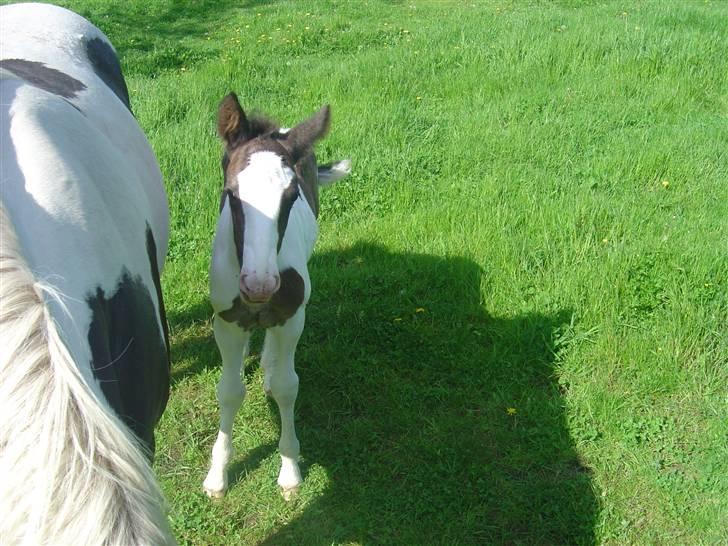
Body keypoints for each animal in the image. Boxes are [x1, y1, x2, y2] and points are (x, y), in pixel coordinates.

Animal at [202, 94, 350, 498]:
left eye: (291, 196)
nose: (260, 286)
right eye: (231, 195)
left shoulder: (292, 316)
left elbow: (287, 387)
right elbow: (228, 391)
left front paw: (290, 470)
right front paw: (217, 475)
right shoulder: (226, 320)